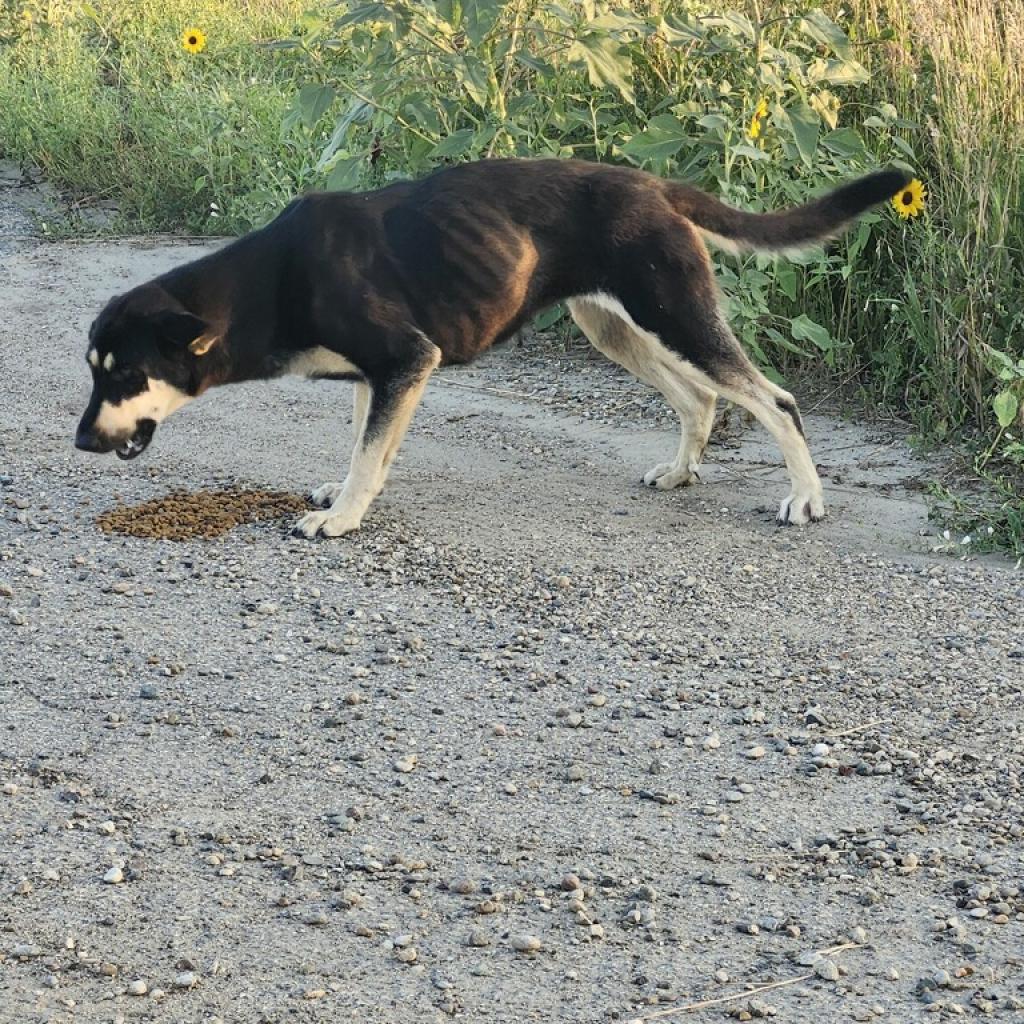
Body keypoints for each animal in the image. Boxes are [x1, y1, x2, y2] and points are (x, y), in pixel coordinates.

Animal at [77, 156, 913, 540]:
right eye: (94, 371)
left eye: (127, 373)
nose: (81, 442)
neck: (270, 282)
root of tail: (654, 183)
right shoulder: (376, 374)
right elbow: (363, 444)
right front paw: (340, 493)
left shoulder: (405, 360)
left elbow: (370, 455)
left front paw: (341, 519)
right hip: (614, 326)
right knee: (701, 397)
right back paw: (681, 471)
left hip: (673, 313)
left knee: (775, 400)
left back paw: (806, 496)